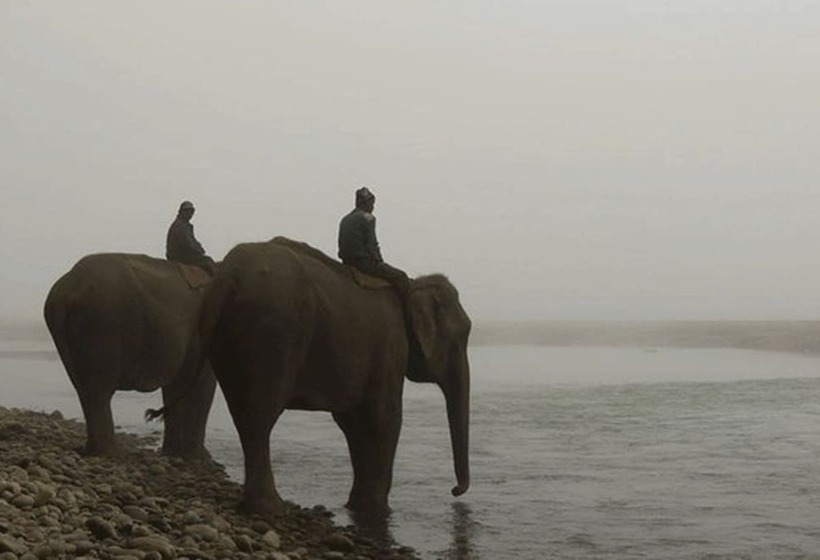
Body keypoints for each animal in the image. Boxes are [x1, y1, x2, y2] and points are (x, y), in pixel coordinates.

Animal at [43, 253, 216, 459]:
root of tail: (68, 287)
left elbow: (176, 386)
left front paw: (173, 454)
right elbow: (203, 385)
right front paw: (201, 459)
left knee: (84, 389)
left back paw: (93, 451)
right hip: (102, 323)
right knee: (98, 390)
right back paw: (111, 454)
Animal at [195, 236, 471, 516]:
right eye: (461, 339)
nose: (455, 491)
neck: (413, 287)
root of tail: (227, 276)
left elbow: (353, 421)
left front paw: (355, 507)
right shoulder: (390, 348)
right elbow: (385, 418)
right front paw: (378, 512)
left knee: (244, 415)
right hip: (272, 333)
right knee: (260, 416)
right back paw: (270, 508)